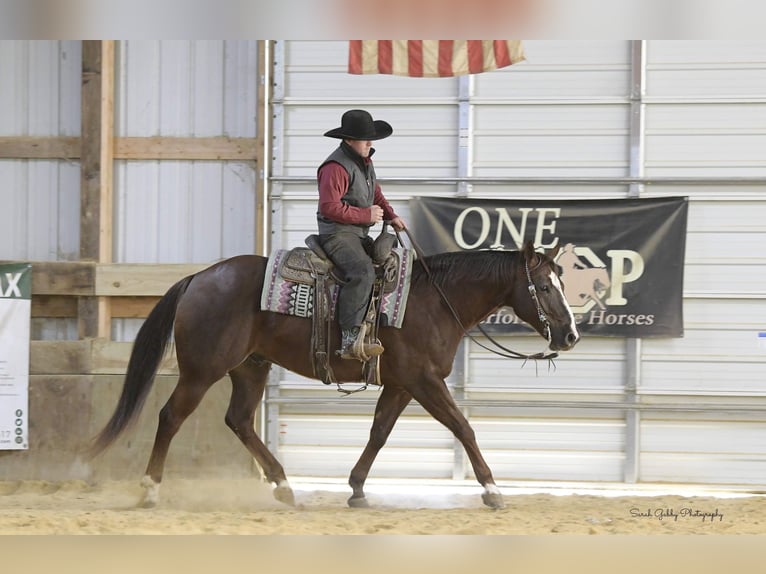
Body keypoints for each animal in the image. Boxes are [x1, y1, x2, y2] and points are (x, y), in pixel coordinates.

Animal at [88, 241, 584, 510]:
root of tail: (199, 277)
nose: (570, 335)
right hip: (202, 370)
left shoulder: (402, 384)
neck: (435, 300)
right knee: (171, 417)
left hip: (251, 367)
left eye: (563, 283)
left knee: (239, 420)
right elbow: (463, 427)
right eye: (544, 287)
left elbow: (379, 432)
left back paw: (284, 486)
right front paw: (493, 490)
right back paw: (150, 490)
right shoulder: (424, 381)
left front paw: (357, 488)